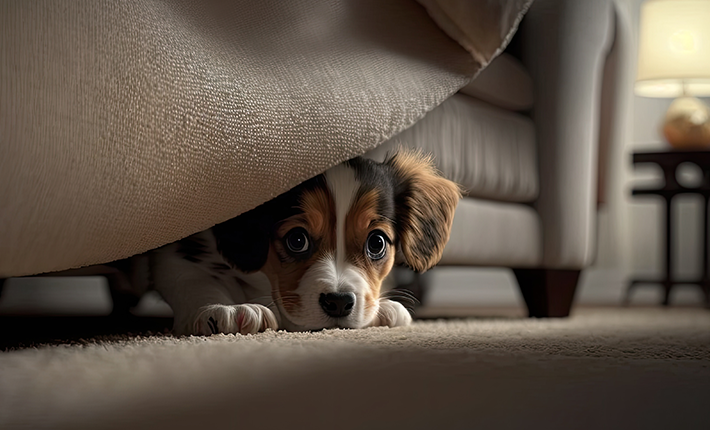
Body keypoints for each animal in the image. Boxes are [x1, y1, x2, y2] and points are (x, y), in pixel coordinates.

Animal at [152, 151, 462, 336]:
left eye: (376, 243)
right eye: (297, 240)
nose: (339, 303)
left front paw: (384, 309)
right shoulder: (180, 249)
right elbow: (194, 279)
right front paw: (225, 309)